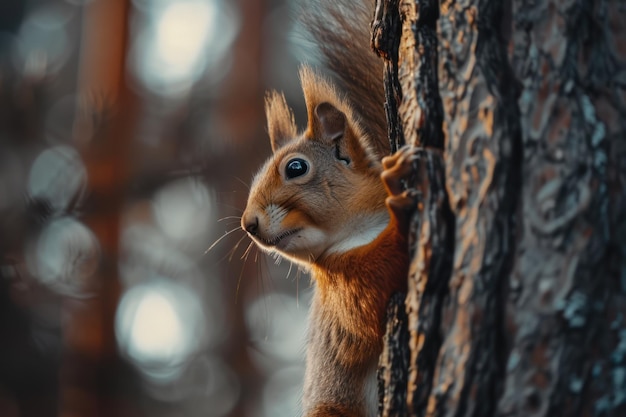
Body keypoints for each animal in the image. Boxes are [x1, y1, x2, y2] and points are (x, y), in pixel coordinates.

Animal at [239, 1, 414, 414]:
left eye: (296, 168)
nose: (247, 224)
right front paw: (399, 199)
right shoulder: (343, 290)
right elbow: (372, 297)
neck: (360, 228)